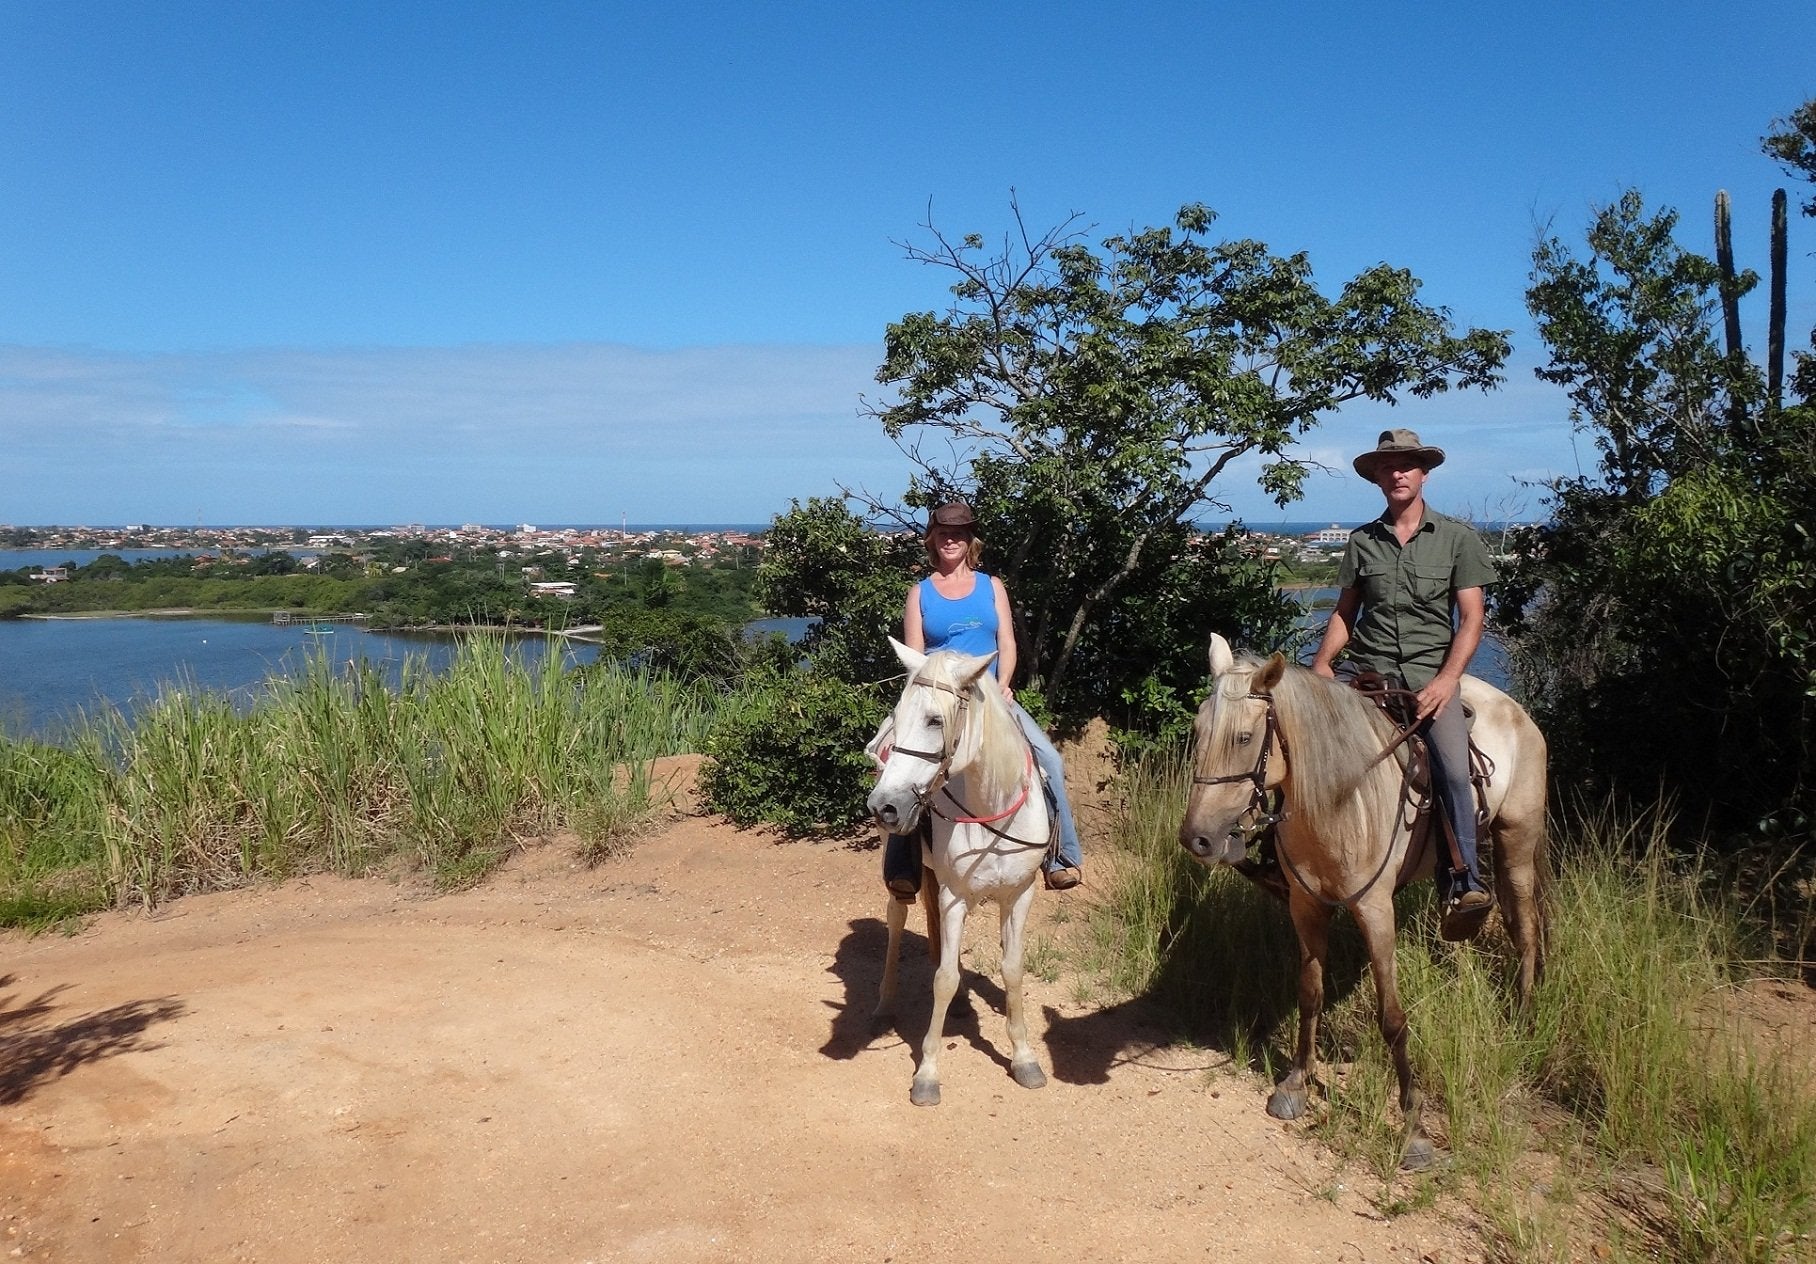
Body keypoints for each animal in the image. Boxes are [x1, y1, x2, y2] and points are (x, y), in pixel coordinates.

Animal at [864, 635, 1053, 1104]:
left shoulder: (1019, 895)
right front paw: (927, 1073)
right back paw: (884, 1004)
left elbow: (1012, 970)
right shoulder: (955, 898)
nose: (884, 806)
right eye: (897, 716)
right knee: (897, 919)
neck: (990, 811)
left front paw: (1024, 1059)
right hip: (901, 874)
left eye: (935, 720)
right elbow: (945, 979)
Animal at [1176, 635, 1547, 1169]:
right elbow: (1310, 993)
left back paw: (1523, 1017)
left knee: (1525, 930)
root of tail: (1517, 711)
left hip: (1517, 842)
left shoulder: (1376, 911)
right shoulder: (1306, 907)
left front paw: (1414, 1129)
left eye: (1244, 738)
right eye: (1198, 730)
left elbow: (1392, 1018)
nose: (1198, 839)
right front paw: (1296, 1083)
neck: (1339, 797)